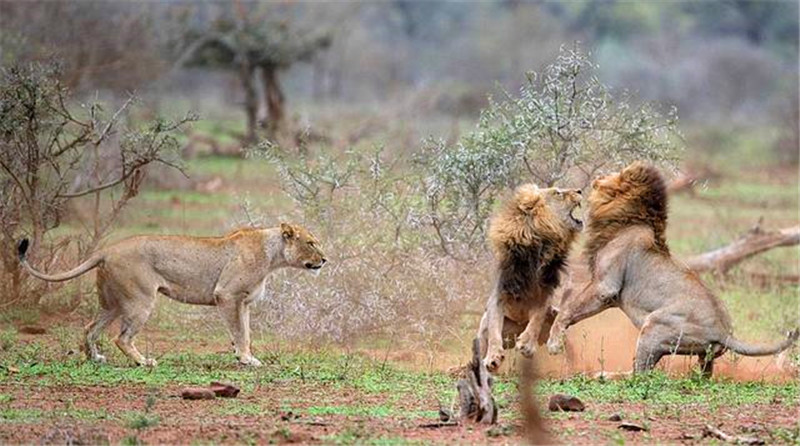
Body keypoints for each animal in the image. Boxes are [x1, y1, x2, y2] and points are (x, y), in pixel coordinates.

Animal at [478, 183, 584, 372]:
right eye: (557, 193)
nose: (579, 191)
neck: (542, 242)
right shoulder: (499, 294)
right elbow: (494, 331)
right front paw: (493, 356)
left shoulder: (545, 293)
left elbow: (536, 319)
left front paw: (527, 345)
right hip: (487, 330)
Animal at [548, 162, 796, 374]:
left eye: (616, 173)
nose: (598, 177)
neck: (629, 217)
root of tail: (725, 332)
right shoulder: (610, 296)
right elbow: (571, 310)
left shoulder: (605, 287)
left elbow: (568, 310)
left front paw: (553, 343)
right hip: (702, 356)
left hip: (654, 326)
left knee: (640, 374)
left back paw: (601, 374)